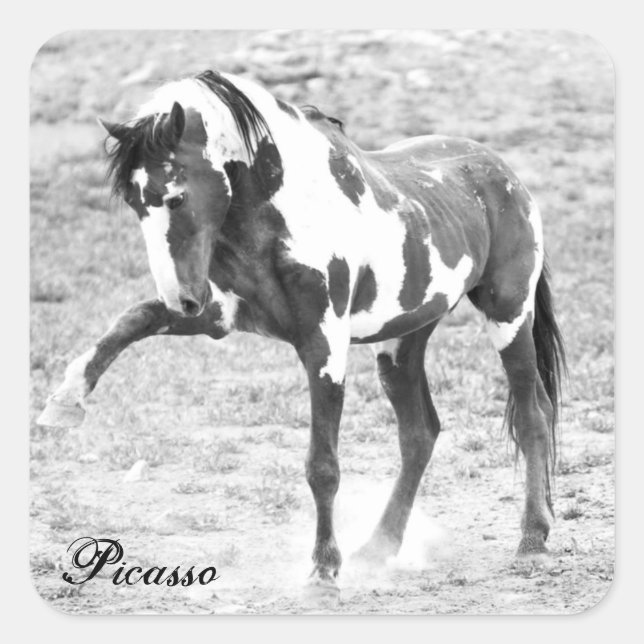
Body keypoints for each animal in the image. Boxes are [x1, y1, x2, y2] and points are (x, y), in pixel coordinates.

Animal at [37, 69, 566, 598]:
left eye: (176, 196)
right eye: (132, 203)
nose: (179, 297)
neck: (283, 219)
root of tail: (505, 175)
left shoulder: (322, 345)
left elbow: (323, 467)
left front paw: (323, 570)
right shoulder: (218, 315)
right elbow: (131, 320)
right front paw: (65, 400)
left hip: (508, 314)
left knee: (532, 416)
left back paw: (532, 539)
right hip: (403, 340)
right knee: (420, 434)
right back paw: (378, 548)